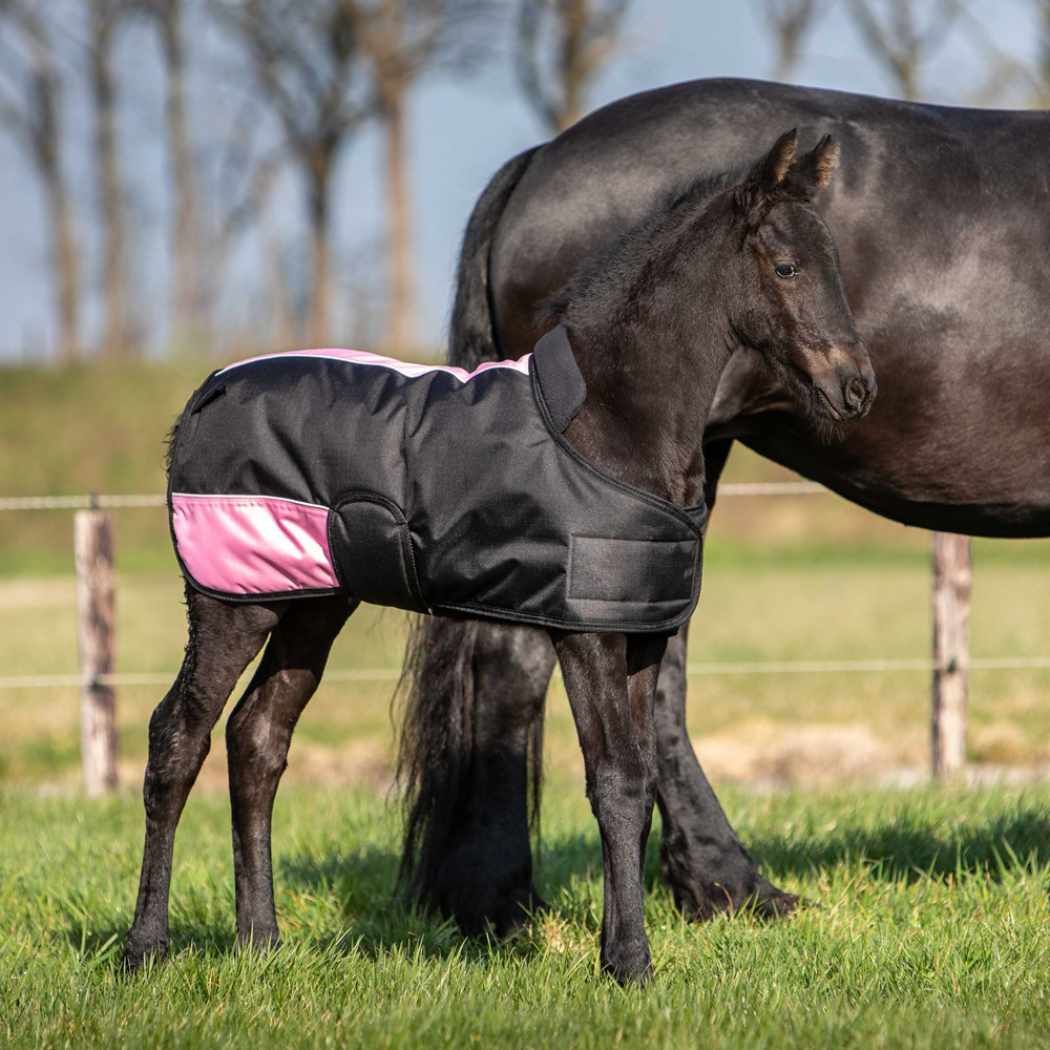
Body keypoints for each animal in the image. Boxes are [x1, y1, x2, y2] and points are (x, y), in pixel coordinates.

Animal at [124, 128, 872, 983]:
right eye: (785, 266)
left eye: (835, 263)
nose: (858, 389)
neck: (607, 421)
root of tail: (202, 400)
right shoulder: (586, 634)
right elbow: (615, 781)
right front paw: (629, 963)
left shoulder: (641, 634)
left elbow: (641, 781)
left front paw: (623, 951)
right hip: (229, 601)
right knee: (177, 737)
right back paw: (146, 949)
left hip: (313, 606)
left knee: (257, 739)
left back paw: (261, 944)